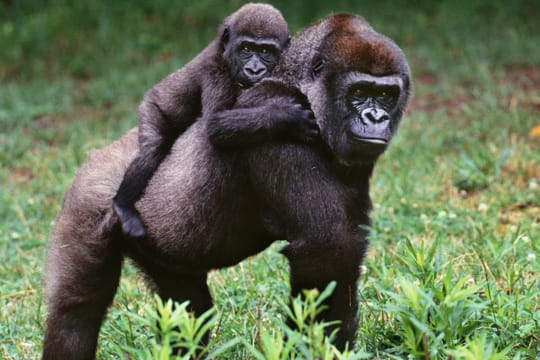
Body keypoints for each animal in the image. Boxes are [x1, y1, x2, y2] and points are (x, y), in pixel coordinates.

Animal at [114, 4, 316, 239]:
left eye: (265, 52)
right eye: (246, 49)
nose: (254, 70)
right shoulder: (216, 71)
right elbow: (214, 125)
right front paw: (288, 119)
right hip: (150, 106)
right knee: (151, 151)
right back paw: (122, 205)